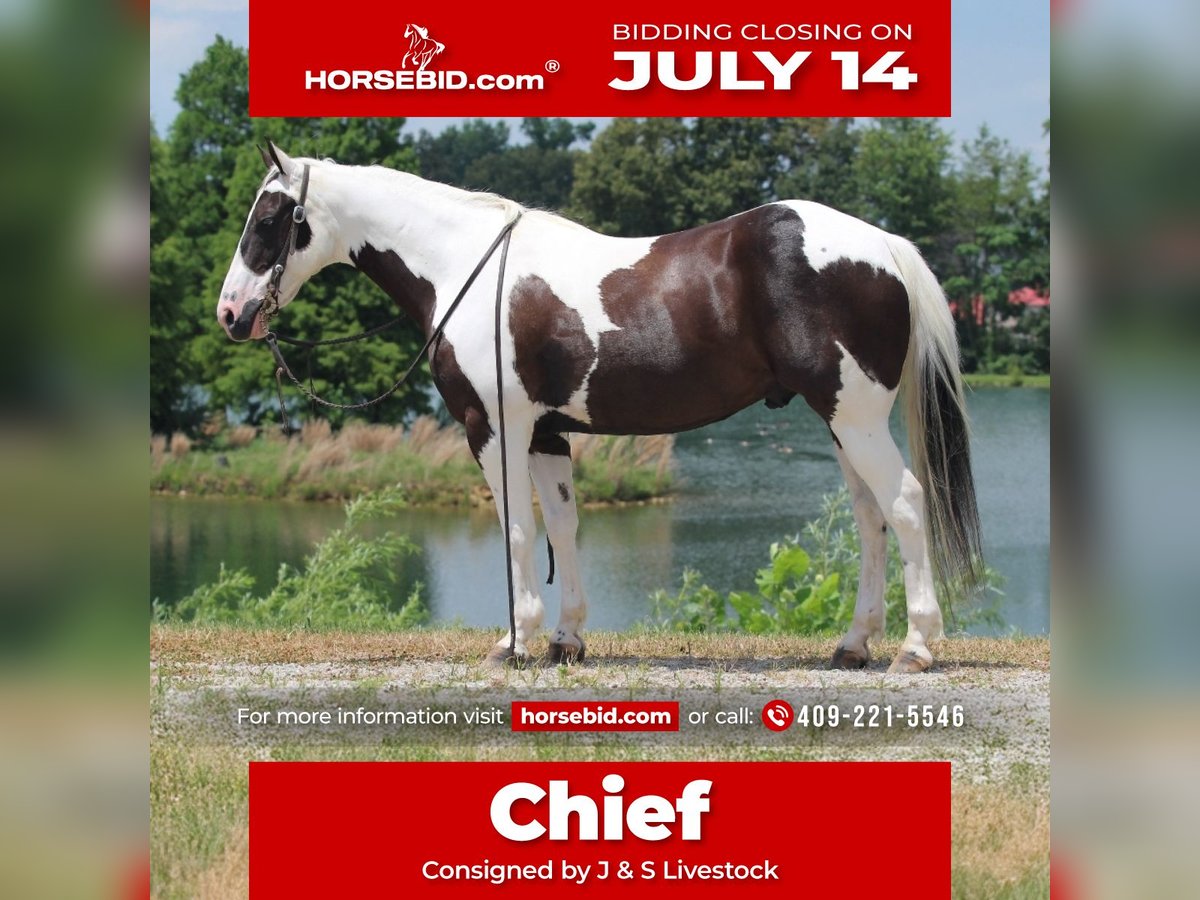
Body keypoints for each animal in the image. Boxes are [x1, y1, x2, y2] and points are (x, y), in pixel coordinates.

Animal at [216, 142, 983, 674]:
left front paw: (513, 642)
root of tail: (882, 244)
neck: (466, 267)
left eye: (269, 217)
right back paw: (854, 645)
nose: (231, 313)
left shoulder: (492, 429)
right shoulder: (546, 435)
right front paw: (565, 640)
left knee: (905, 504)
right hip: (841, 422)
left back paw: (915, 647)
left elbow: (517, 531)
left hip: (855, 419)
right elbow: (562, 527)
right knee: (870, 517)